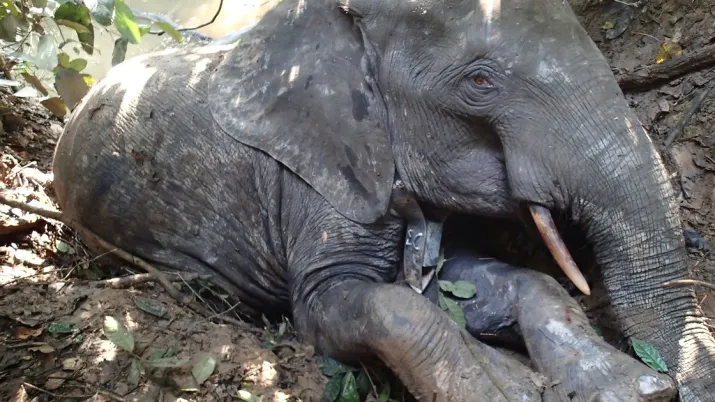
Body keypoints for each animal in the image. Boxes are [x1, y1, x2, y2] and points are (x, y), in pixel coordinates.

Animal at [50, 0, 715, 400]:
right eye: (480, 81)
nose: (678, 385)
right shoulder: (314, 173)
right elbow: (364, 305)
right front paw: (508, 390)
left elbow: (483, 281)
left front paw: (631, 388)